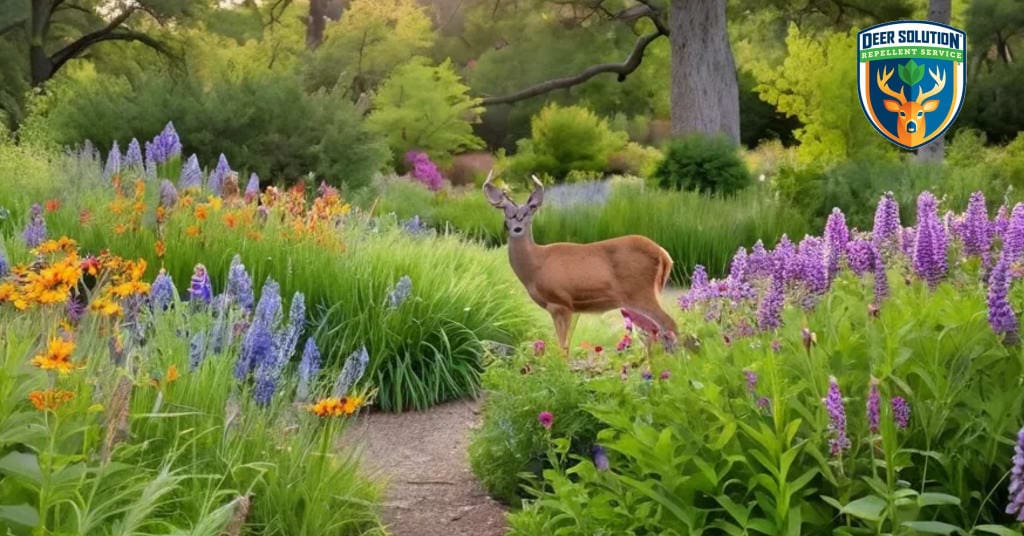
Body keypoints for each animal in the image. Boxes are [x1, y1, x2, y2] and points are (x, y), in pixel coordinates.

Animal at [483, 172, 678, 355]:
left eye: (529, 213)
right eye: (506, 215)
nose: (516, 228)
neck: (536, 266)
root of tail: (665, 255)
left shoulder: (561, 303)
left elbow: (562, 347)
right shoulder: (567, 308)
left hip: (642, 293)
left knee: (669, 325)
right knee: (653, 333)